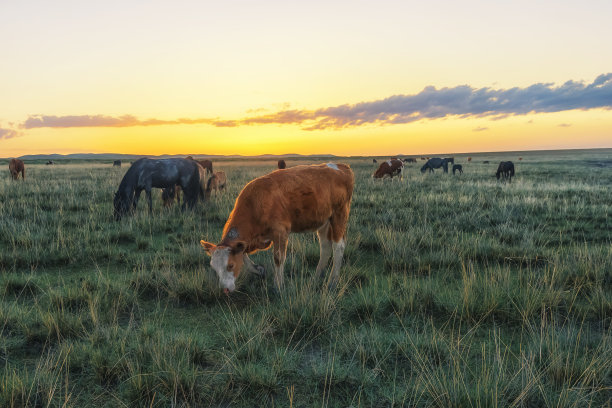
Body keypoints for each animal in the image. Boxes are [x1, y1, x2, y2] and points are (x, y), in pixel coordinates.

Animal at [201, 163, 354, 294]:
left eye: (231, 265)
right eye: (213, 267)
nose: (225, 290)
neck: (256, 204)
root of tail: (340, 166)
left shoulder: (281, 232)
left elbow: (278, 258)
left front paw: (278, 286)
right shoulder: (248, 241)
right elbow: (244, 255)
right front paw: (259, 270)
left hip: (339, 215)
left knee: (338, 247)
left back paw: (332, 282)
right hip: (323, 222)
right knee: (325, 247)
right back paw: (316, 277)